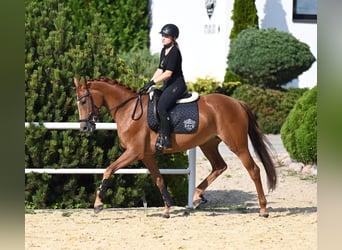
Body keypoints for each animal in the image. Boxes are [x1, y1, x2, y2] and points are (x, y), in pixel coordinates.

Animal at [73, 77, 276, 218]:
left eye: (83, 101)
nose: (84, 128)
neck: (128, 109)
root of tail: (237, 102)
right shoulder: (146, 155)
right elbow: (159, 180)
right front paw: (167, 208)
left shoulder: (133, 152)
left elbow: (108, 170)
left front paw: (98, 204)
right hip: (208, 144)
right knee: (220, 166)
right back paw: (197, 196)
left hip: (237, 145)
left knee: (253, 170)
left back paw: (263, 209)